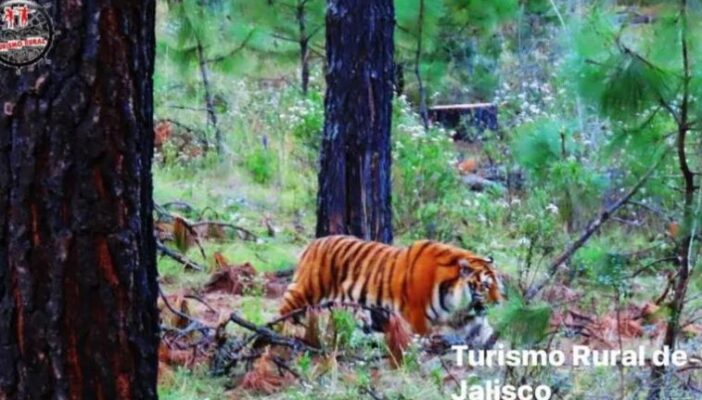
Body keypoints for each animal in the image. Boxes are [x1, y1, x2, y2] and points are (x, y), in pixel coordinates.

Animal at [279, 235, 501, 336]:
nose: (499, 303)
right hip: (307, 289)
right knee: (284, 310)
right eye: (485, 286)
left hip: (354, 308)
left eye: (498, 285)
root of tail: (314, 242)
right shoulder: (417, 315)